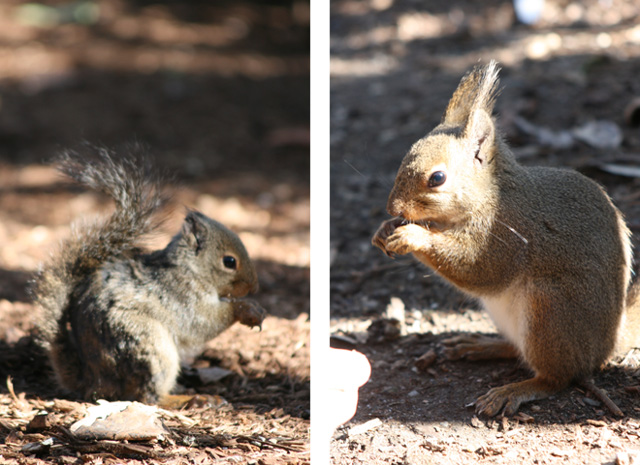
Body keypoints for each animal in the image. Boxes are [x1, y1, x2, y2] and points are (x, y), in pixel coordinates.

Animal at [33, 148, 264, 402]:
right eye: (229, 262)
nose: (254, 287)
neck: (189, 269)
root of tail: (95, 381)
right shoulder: (182, 298)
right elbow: (203, 322)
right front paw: (246, 309)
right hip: (149, 346)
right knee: (147, 396)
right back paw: (185, 399)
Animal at [372, 59, 636, 416]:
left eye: (437, 178)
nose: (392, 207)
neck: (492, 195)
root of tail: (607, 346)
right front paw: (384, 229)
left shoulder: (507, 236)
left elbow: (478, 269)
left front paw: (413, 235)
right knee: (517, 351)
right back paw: (478, 345)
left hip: (550, 309)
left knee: (557, 377)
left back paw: (513, 390)